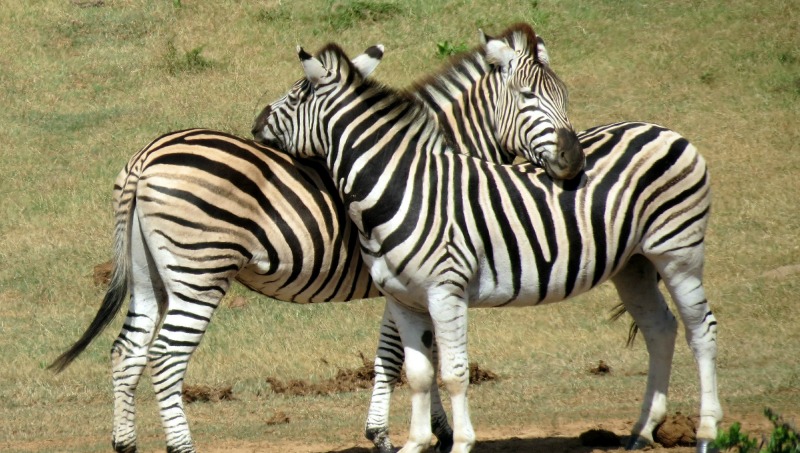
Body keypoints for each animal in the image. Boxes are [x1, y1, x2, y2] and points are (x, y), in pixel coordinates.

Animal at [48, 26, 582, 453]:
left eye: (565, 96)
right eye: (529, 97)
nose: (573, 161)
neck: (428, 163)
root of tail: (146, 157)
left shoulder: (413, 281)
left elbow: (419, 351)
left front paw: (429, 430)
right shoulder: (411, 277)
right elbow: (397, 355)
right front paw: (391, 435)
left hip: (149, 274)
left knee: (128, 351)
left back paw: (126, 443)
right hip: (200, 270)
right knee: (165, 357)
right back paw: (183, 447)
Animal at [251, 43, 722, 453]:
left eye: (297, 93)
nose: (255, 123)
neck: (402, 186)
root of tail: (664, 131)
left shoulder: (445, 292)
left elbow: (453, 373)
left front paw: (458, 442)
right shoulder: (404, 299)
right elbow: (418, 373)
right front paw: (415, 443)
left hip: (677, 252)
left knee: (701, 329)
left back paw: (706, 433)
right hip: (633, 264)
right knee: (660, 328)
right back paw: (642, 431)